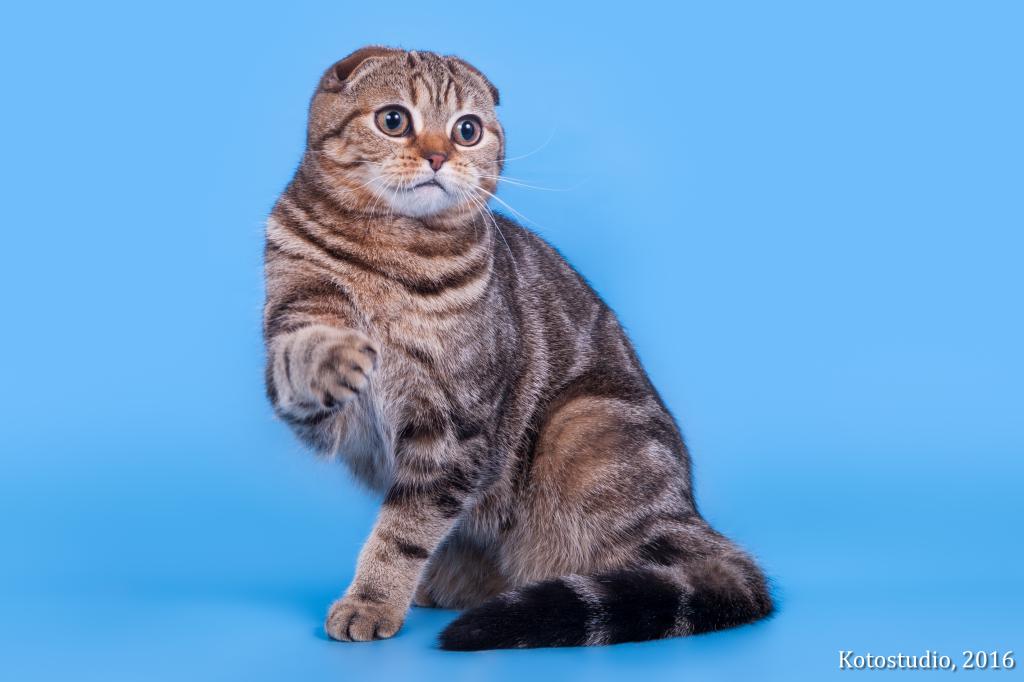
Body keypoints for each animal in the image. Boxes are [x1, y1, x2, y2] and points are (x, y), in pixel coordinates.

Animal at [263, 46, 773, 650]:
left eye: (467, 130)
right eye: (394, 120)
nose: (437, 156)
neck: (388, 252)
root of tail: (691, 514)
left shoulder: (452, 427)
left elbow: (403, 531)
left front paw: (372, 599)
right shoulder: (311, 380)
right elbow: (298, 356)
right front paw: (332, 356)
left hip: (583, 427)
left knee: (672, 573)